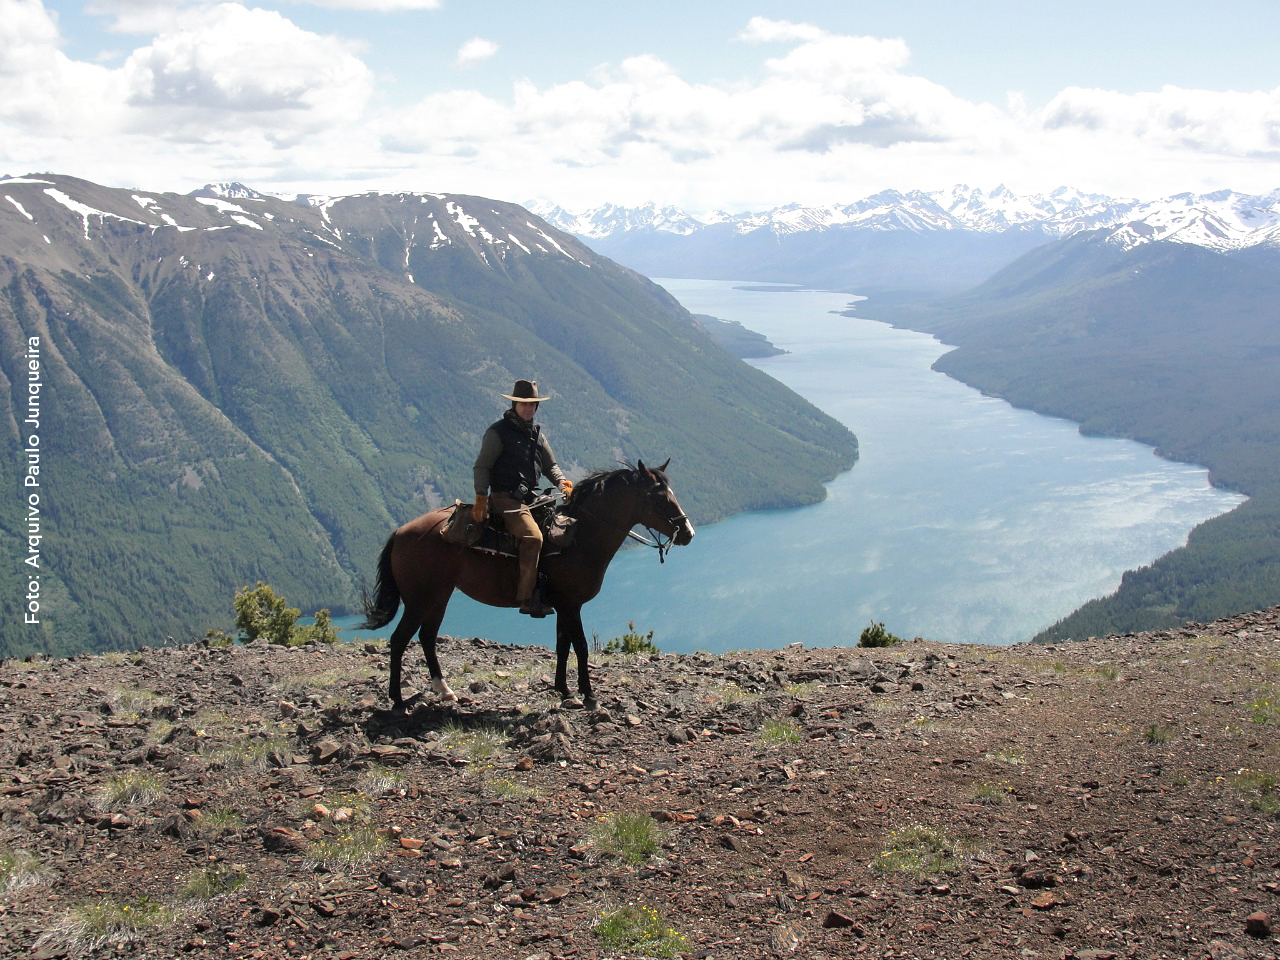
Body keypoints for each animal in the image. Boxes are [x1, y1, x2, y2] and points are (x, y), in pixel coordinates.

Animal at [360, 458, 696, 706]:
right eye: (659, 497)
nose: (689, 533)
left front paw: (563, 689)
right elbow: (581, 646)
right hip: (420, 600)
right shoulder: (571, 605)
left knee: (427, 638)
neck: (579, 539)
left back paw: (445, 691)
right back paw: (397, 699)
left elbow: (562, 645)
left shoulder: (562, 606)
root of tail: (401, 531)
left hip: (439, 597)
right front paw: (588, 694)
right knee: (399, 640)